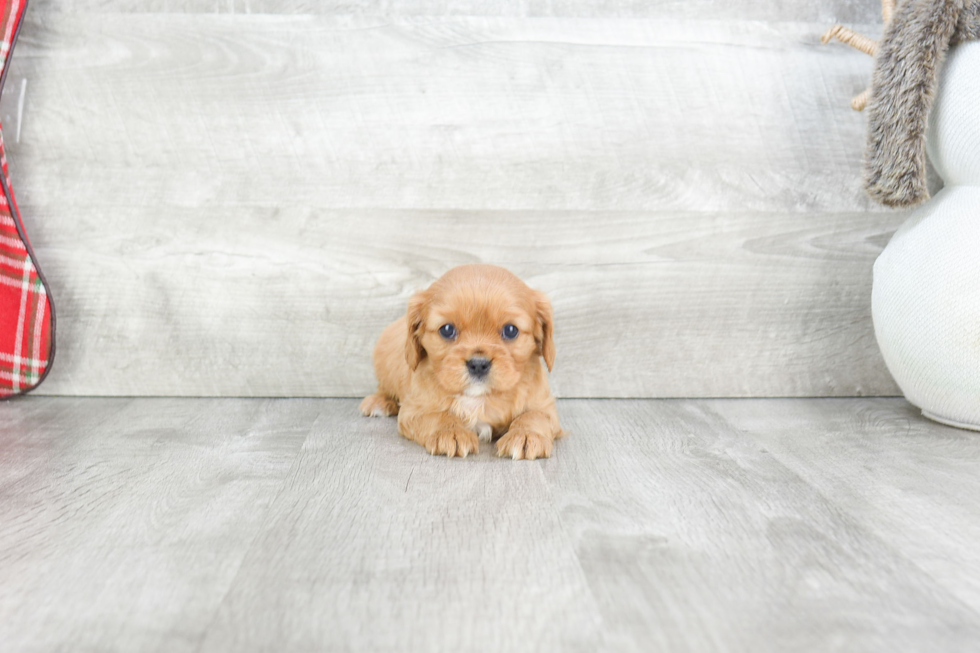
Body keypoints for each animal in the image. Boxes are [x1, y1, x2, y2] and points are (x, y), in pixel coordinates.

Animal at [360, 264, 564, 458]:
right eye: (447, 329)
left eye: (511, 330)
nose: (478, 364)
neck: (477, 396)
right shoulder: (414, 409)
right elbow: (438, 416)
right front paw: (450, 432)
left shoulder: (544, 406)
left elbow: (535, 415)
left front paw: (526, 435)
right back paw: (379, 402)